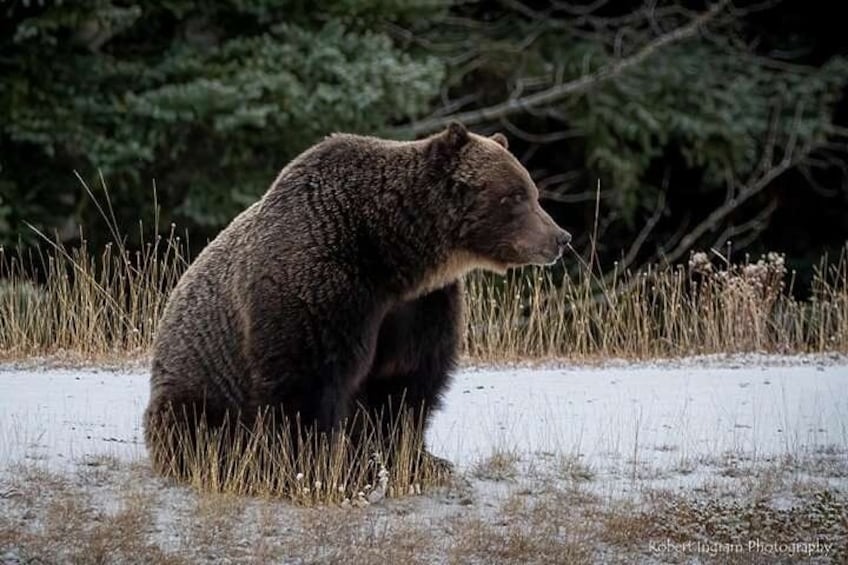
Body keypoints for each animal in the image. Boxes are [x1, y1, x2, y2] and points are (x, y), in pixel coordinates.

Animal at [143, 122, 571, 479]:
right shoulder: (321, 284)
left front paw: (420, 461)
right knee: (195, 426)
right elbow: (307, 380)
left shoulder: (419, 305)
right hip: (202, 382)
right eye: (515, 196)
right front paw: (319, 466)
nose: (560, 237)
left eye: (532, 192)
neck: (389, 253)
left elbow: (404, 384)